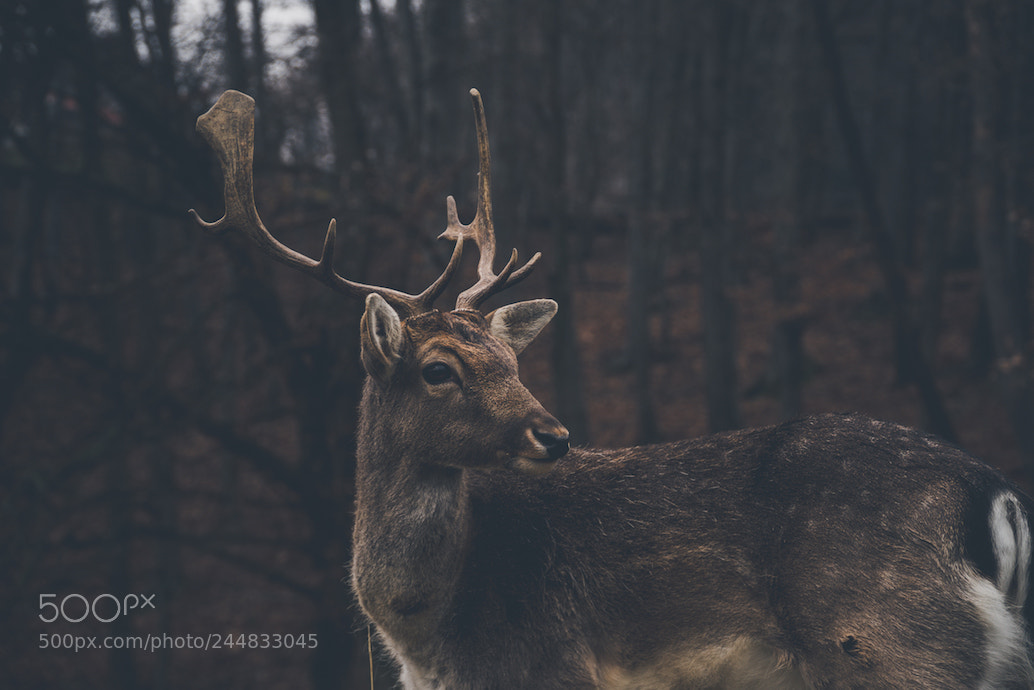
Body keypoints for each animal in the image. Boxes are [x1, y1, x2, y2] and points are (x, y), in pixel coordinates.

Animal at [191, 88, 1034, 689]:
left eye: (511, 360)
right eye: (438, 369)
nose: (555, 434)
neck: (430, 635)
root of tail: (993, 497)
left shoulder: (546, 666)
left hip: (891, 646)